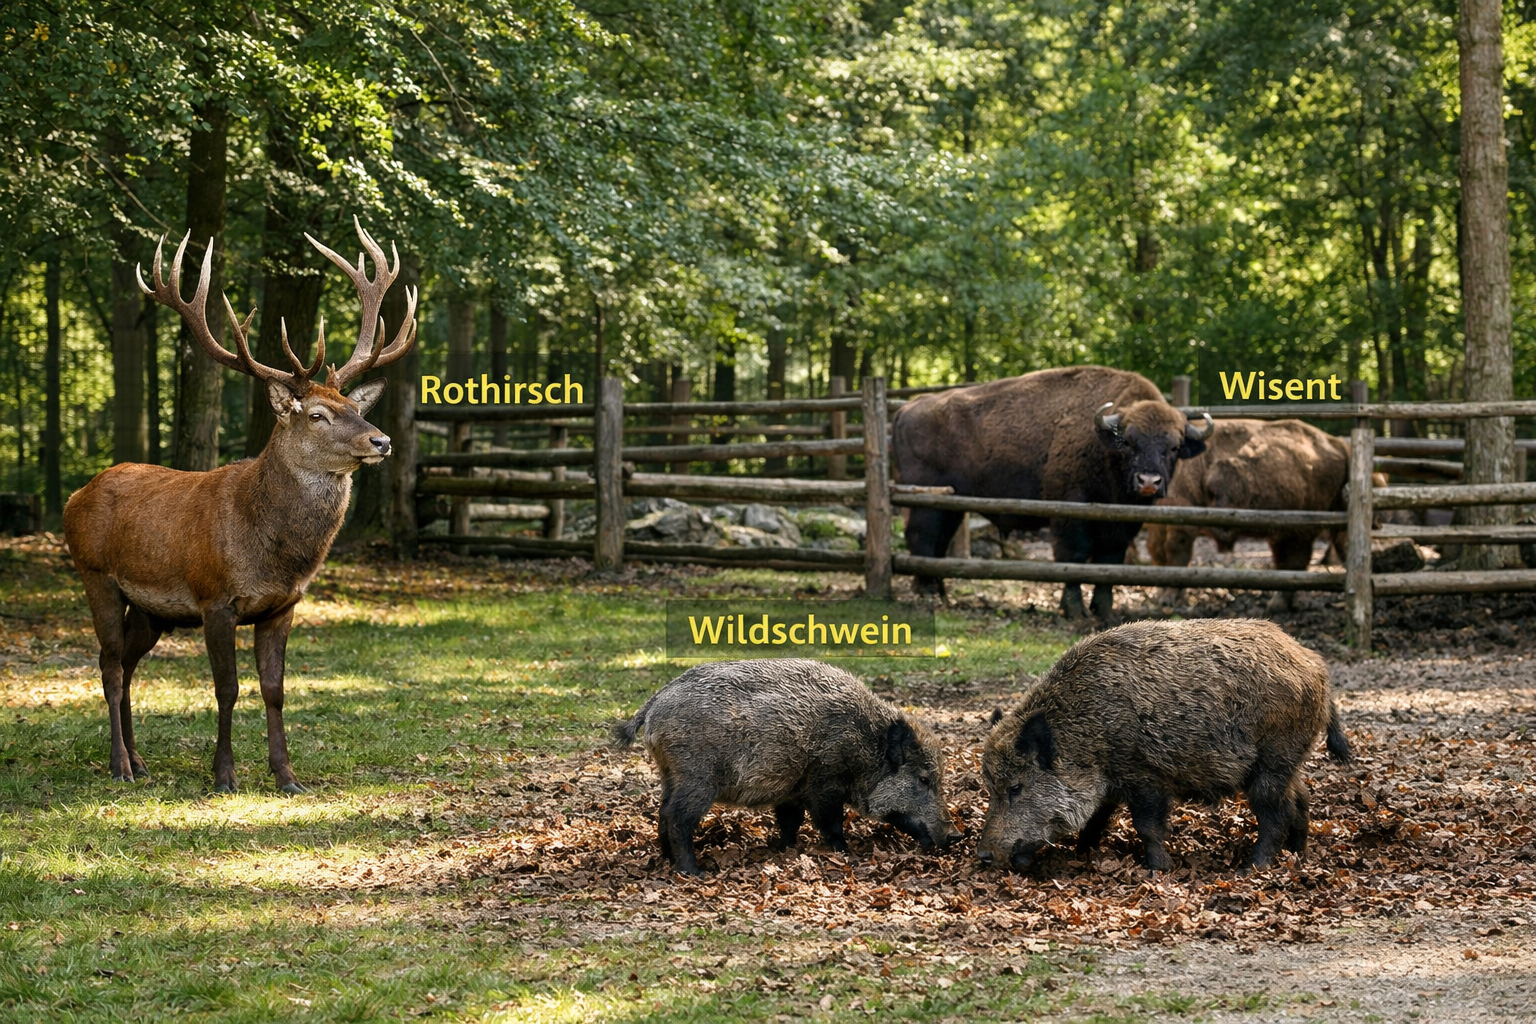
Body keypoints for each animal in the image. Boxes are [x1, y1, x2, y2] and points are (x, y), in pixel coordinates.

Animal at [62, 219, 417, 794]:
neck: (271, 550)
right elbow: (226, 689)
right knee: (111, 665)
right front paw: (224, 775)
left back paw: (139, 759)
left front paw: (287, 776)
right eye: (317, 414)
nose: (381, 441)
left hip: (151, 610)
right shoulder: (215, 598)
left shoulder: (283, 605)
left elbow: (274, 690)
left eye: (353, 405)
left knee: (127, 664)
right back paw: (120, 766)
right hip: (95, 575)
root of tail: (77, 495)